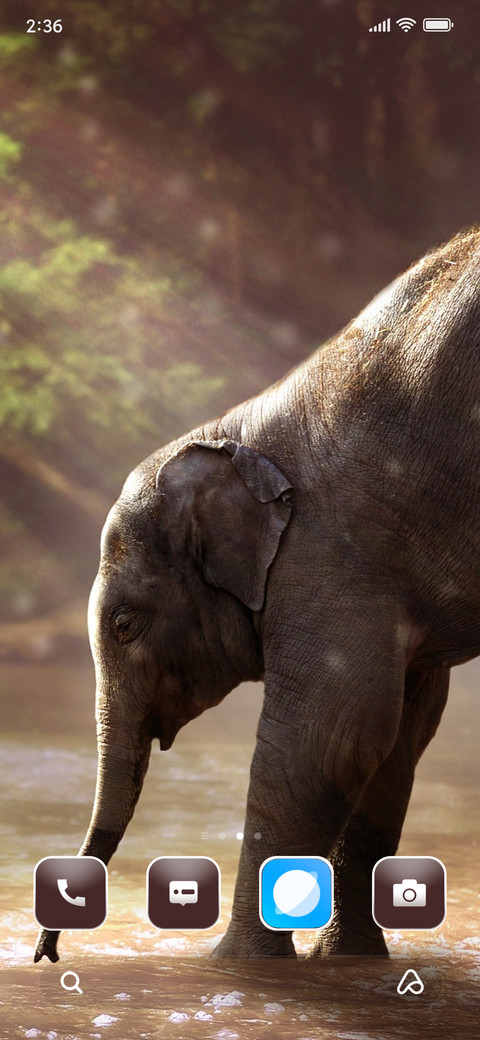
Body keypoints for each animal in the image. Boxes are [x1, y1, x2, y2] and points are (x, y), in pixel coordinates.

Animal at [35, 227, 480, 964]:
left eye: (124, 624)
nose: (45, 954)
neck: (238, 433)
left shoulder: (334, 553)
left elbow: (332, 735)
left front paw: (235, 968)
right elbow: (397, 740)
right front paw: (345, 963)